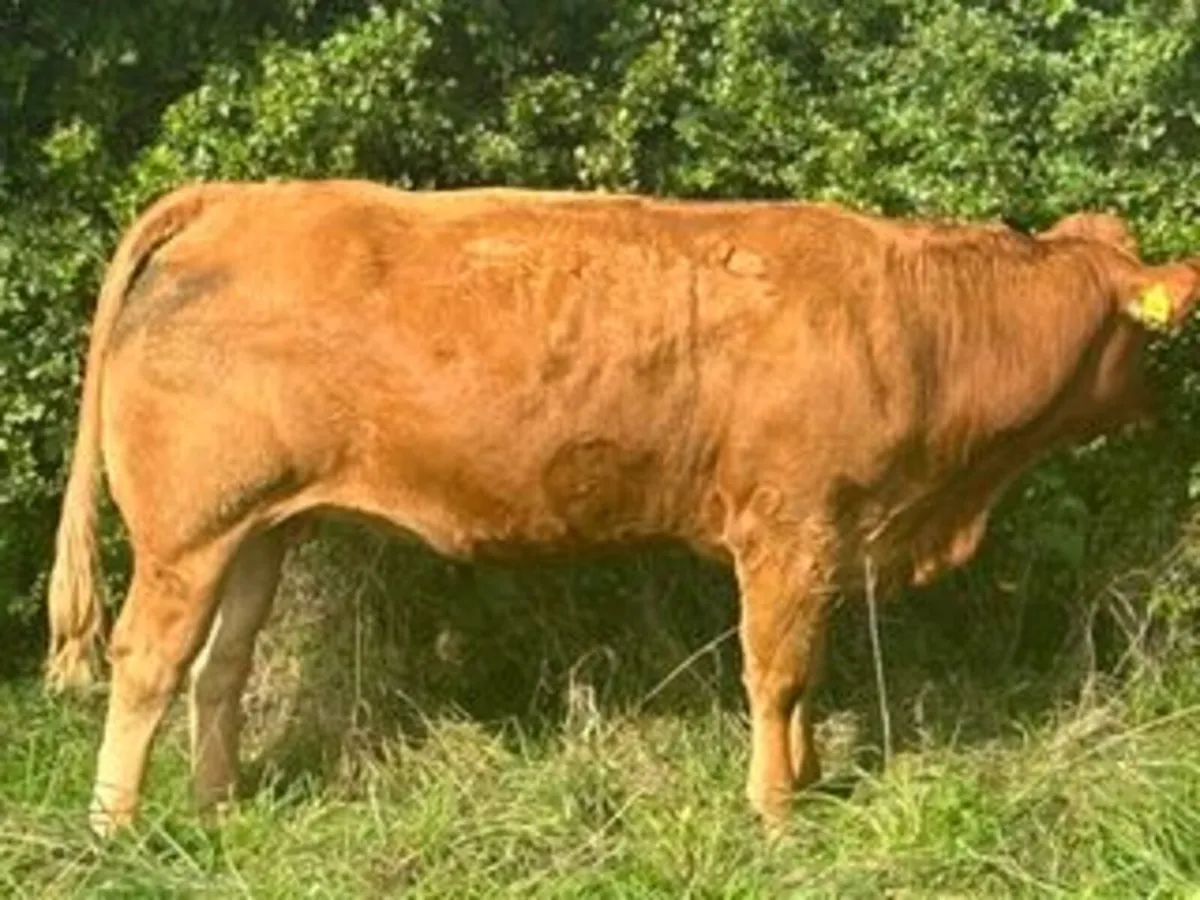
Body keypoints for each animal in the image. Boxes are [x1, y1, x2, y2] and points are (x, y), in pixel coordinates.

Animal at [43, 179, 1198, 836]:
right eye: (1143, 338)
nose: (1164, 402)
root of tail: (240, 197)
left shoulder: (823, 540)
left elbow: (809, 668)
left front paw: (812, 779)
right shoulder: (789, 526)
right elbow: (778, 674)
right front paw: (776, 811)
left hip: (260, 528)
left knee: (221, 666)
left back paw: (218, 807)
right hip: (187, 530)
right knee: (146, 664)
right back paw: (117, 828)